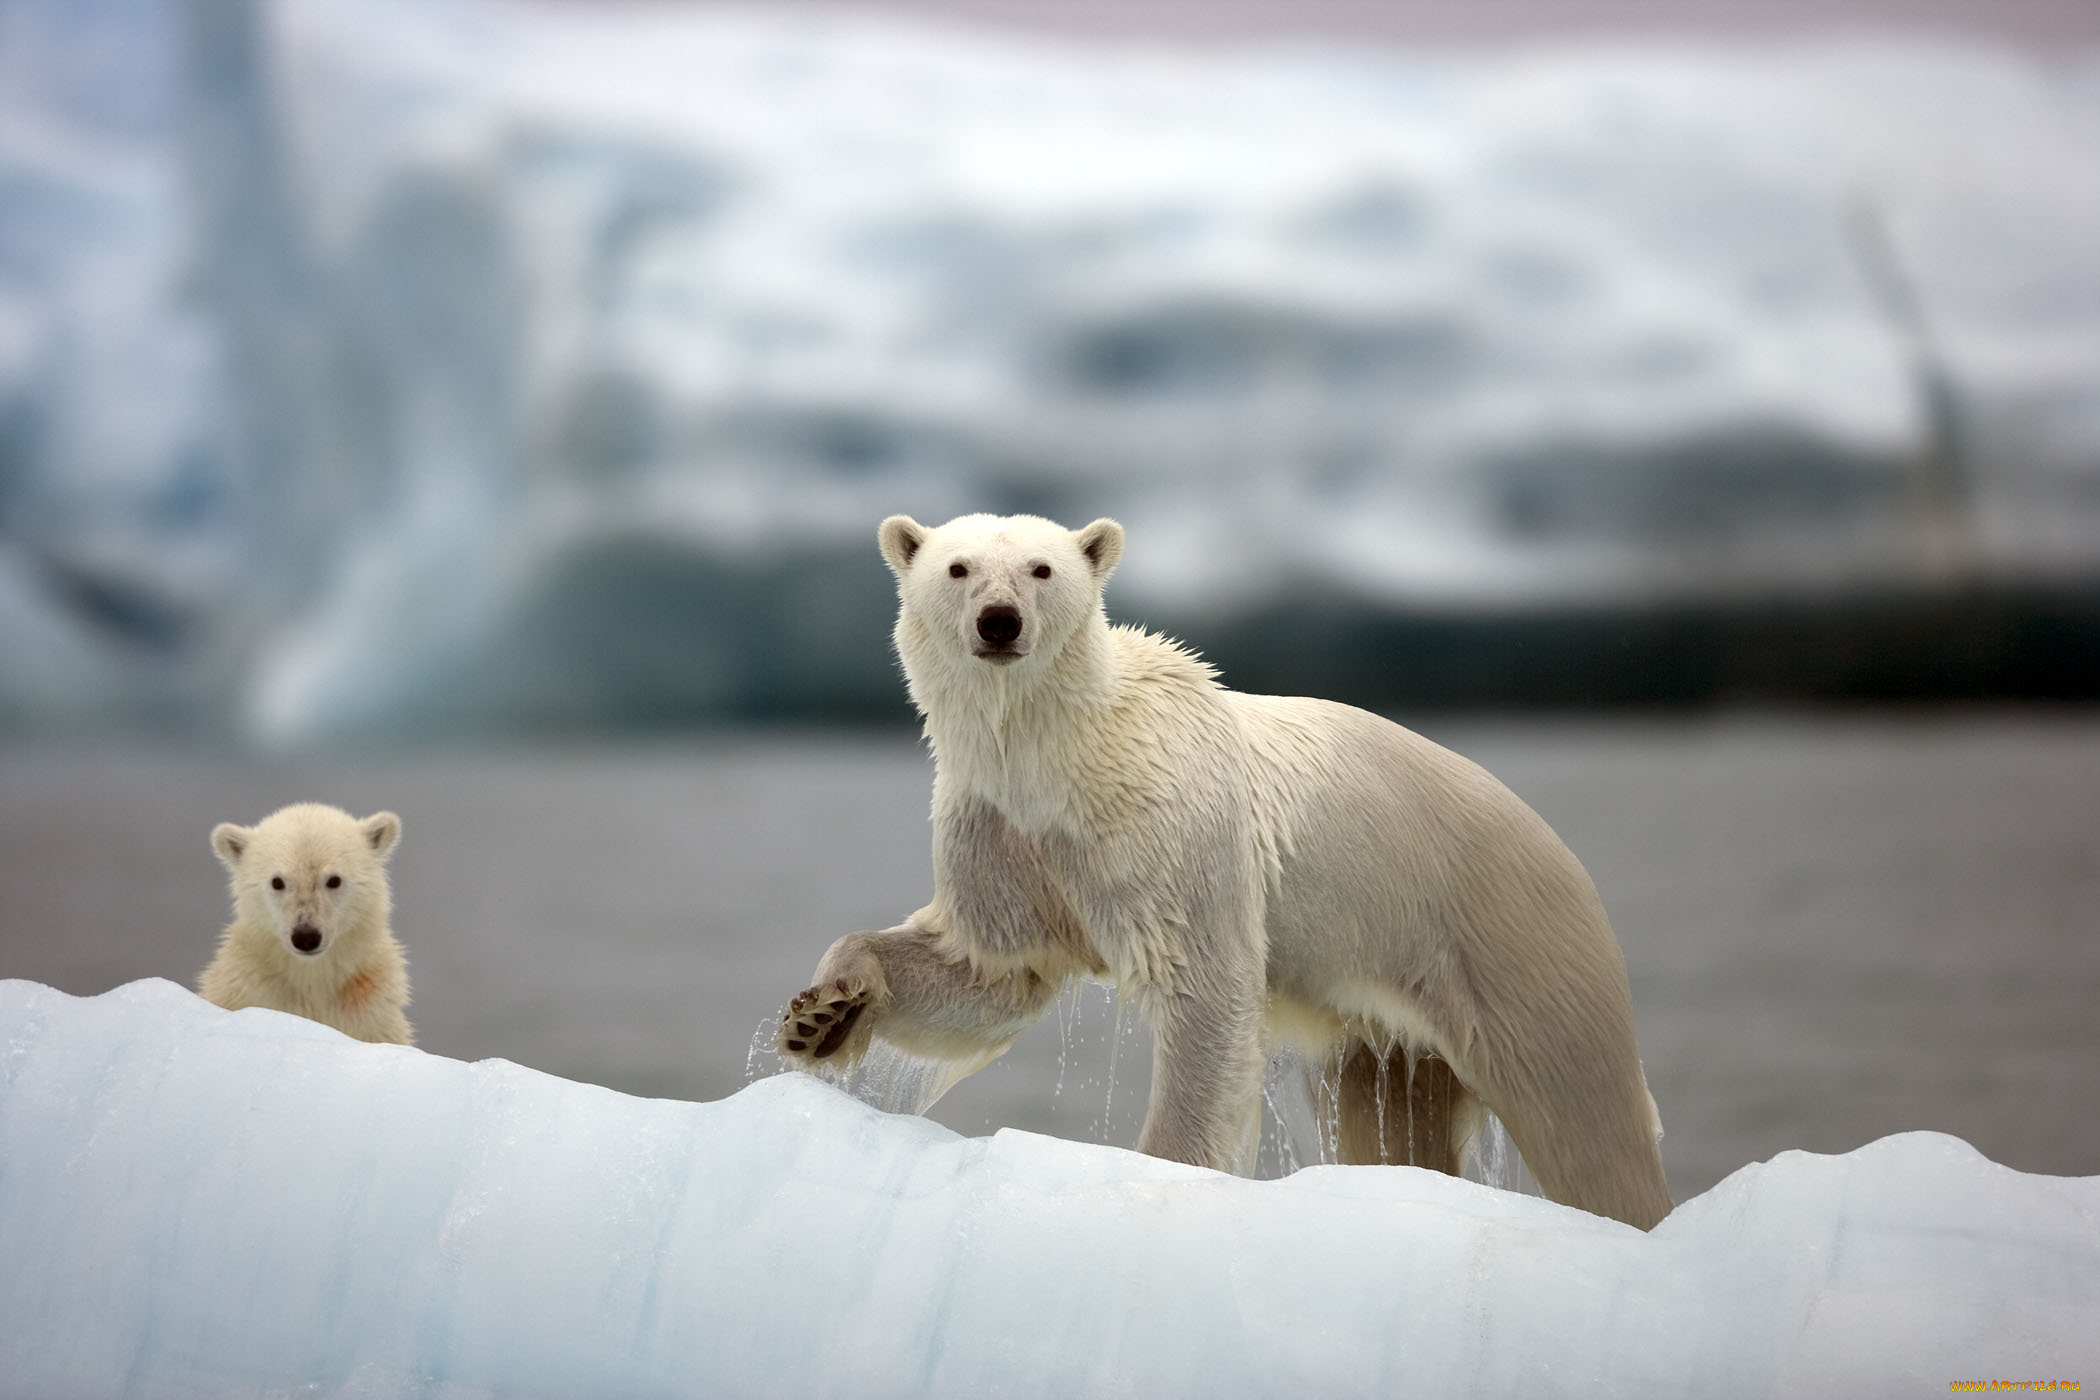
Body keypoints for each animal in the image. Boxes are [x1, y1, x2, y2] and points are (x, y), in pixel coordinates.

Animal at [785, 514, 1671, 1225]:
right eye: (958, 568)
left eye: (1042, 569)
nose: (999, 622)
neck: (1059, 758)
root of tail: (1557, 847)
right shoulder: (999, 833)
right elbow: (992, 972)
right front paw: (822, 1013)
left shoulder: (1168, 827)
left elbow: (1201, 990)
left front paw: (1163, 1173)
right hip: (1390, 1023)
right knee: (1392, 1119)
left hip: (1511, 941)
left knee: (1586, 1121)